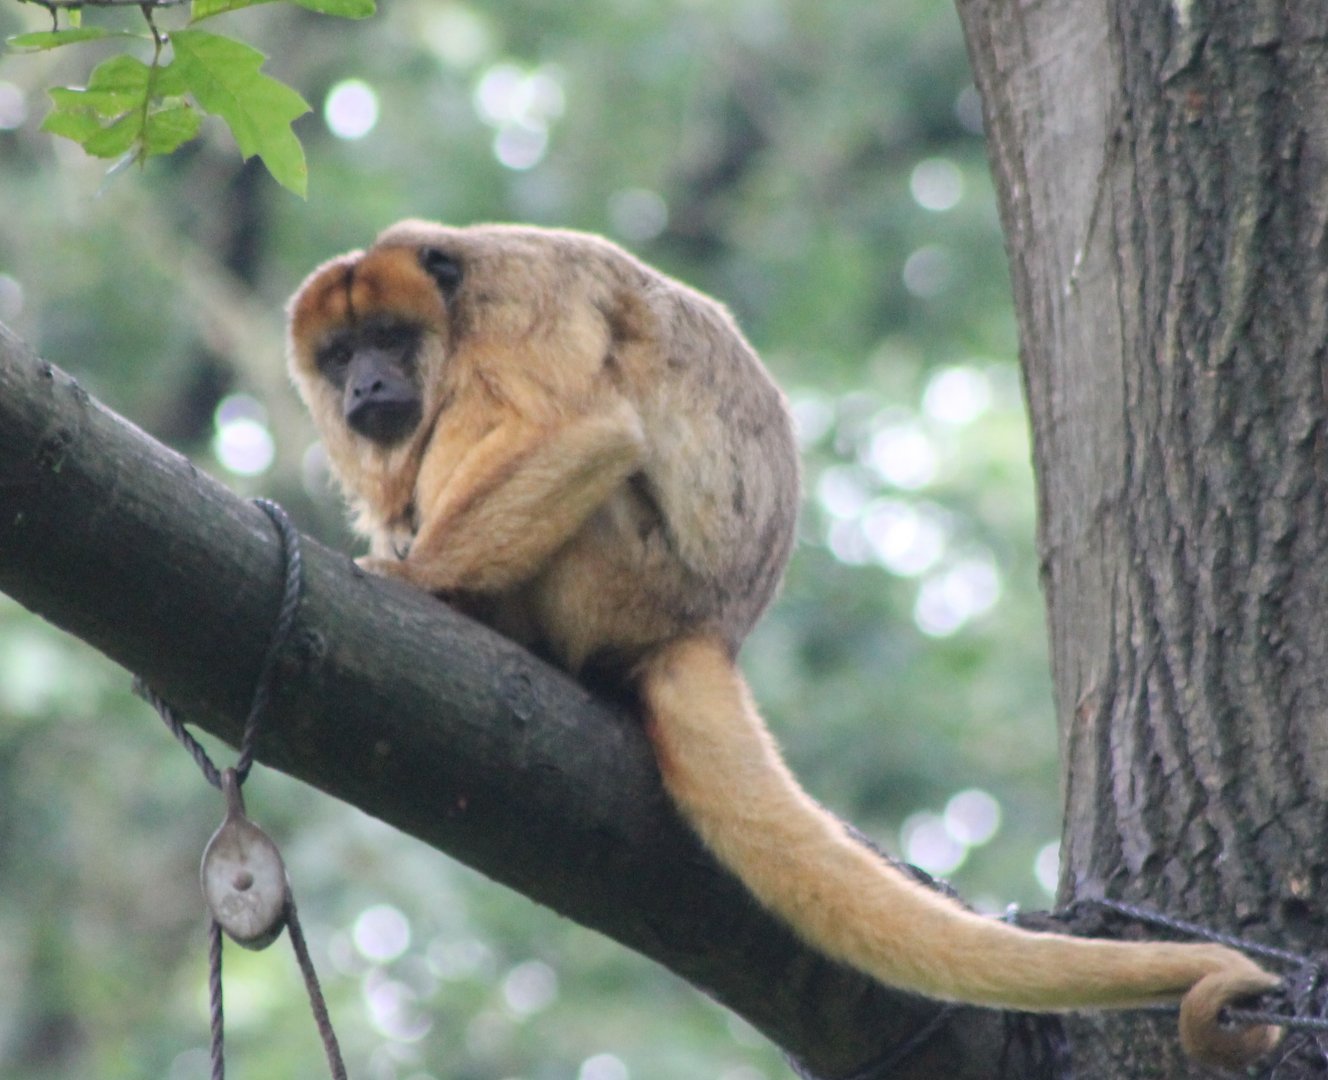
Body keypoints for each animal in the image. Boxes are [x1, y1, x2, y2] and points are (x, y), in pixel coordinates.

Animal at [286, 220, 1281, 1071]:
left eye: (389, 338)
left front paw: (414, 578)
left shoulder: (517, 306)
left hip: (618, 578)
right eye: (339, 356)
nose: (365, 386)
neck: (450, 306)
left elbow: (582, 431)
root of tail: (709, 628)